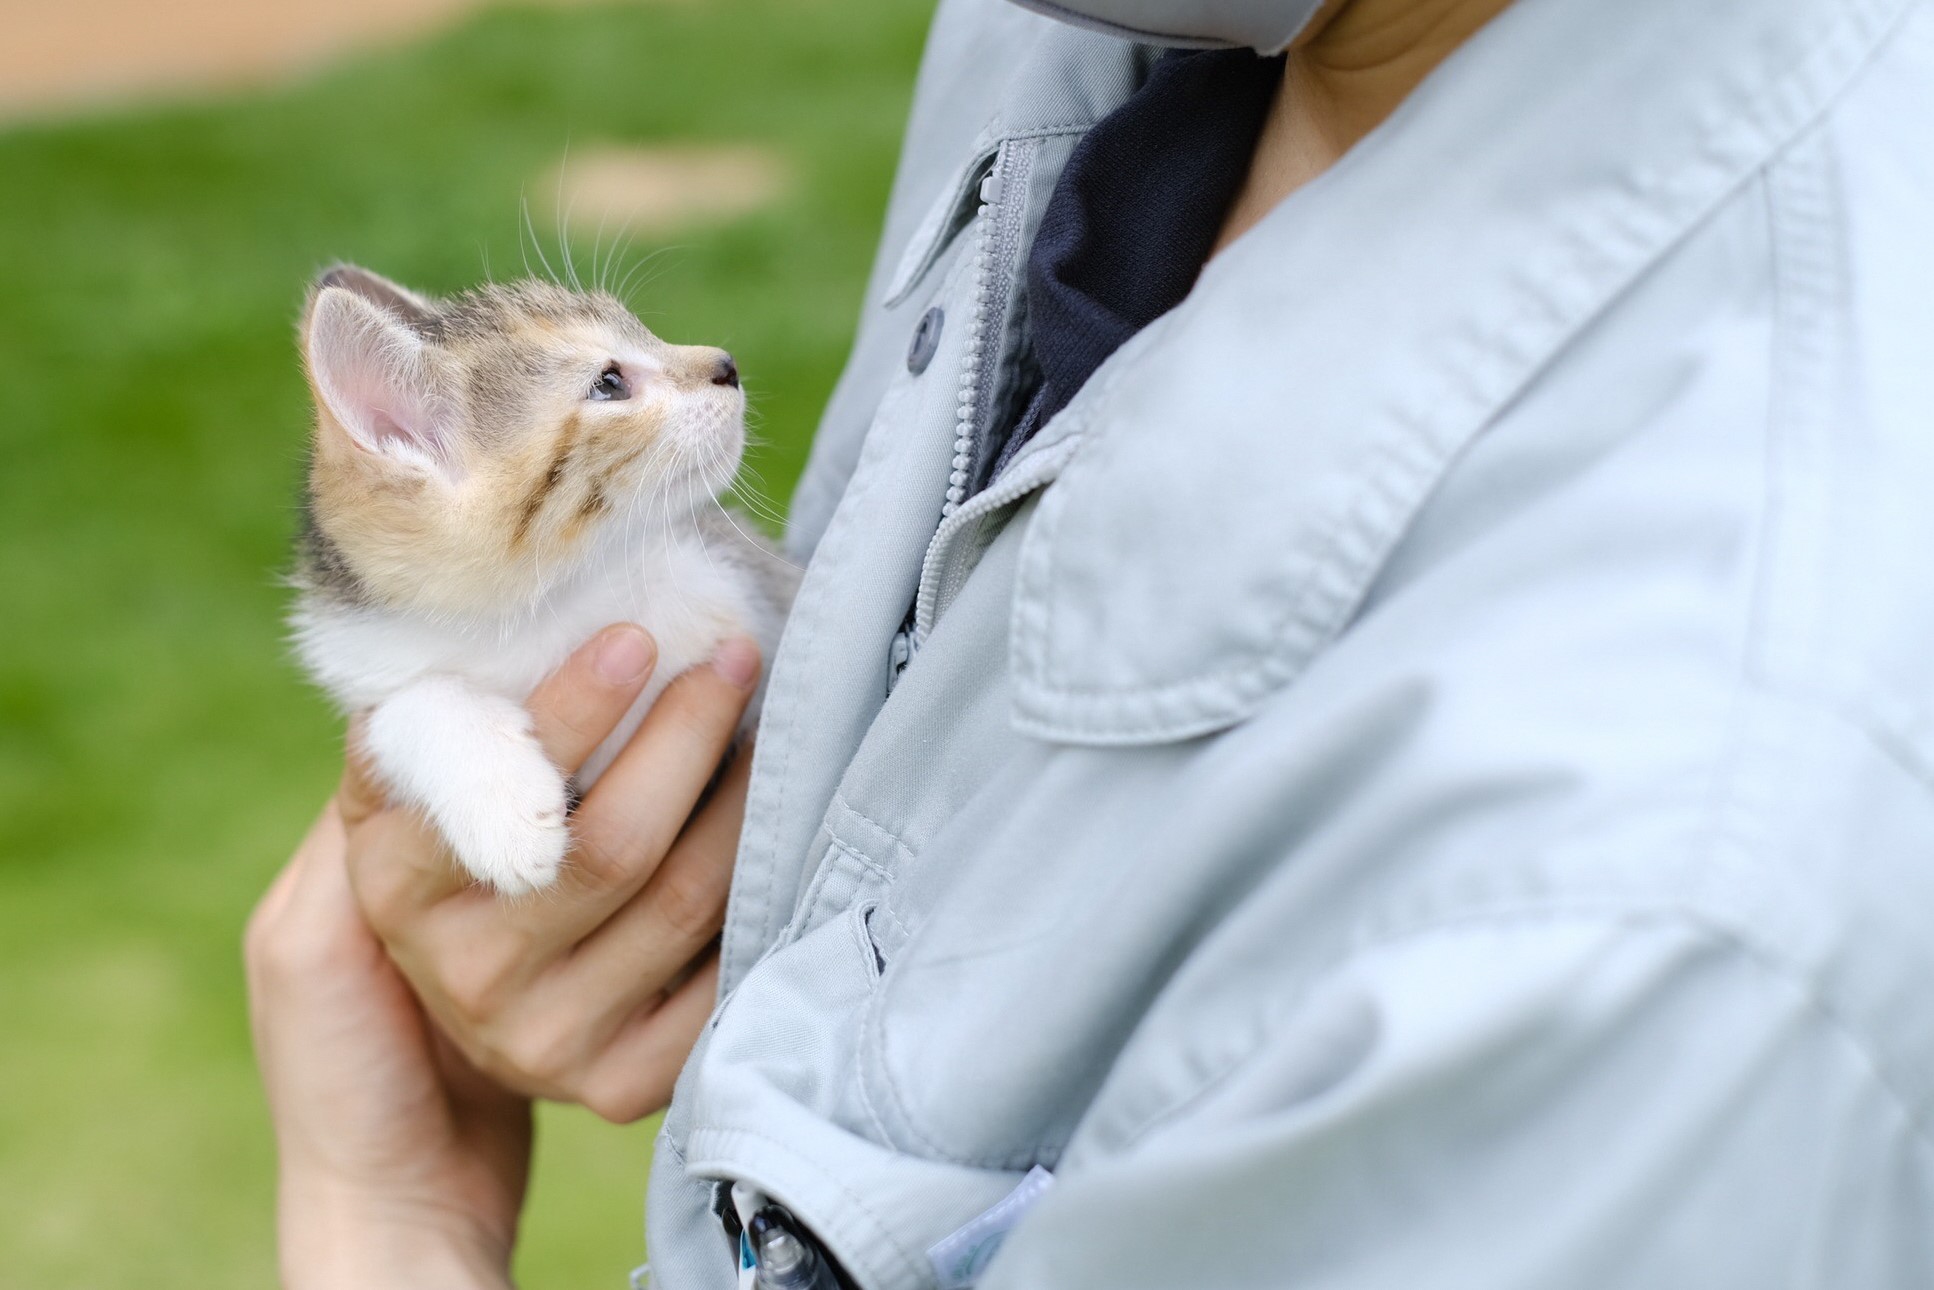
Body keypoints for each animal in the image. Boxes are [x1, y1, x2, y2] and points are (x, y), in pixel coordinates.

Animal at [288, 270, 800, 897]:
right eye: (608, 383)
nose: (726, 364)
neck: (537, 611)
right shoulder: (369, 655)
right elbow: (399, 710)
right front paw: (504, 812)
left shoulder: (740, 580)